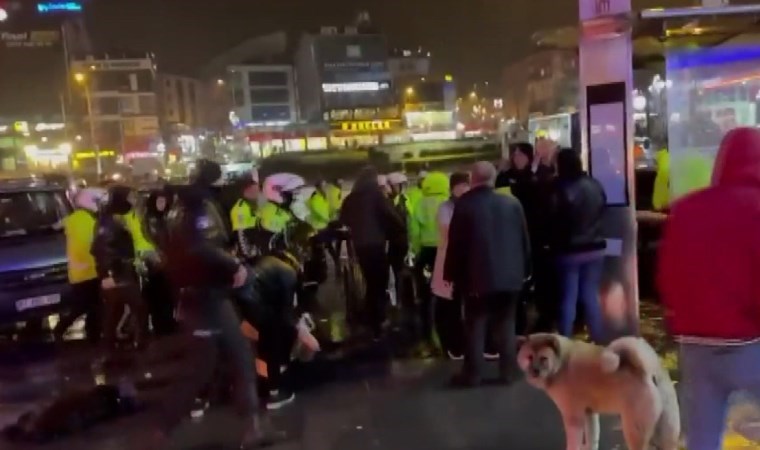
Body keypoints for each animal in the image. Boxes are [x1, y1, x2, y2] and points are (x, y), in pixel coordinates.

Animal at [520, 334, 680, 450]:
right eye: (529, 357)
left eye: (543, 359)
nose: (535, 371)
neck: (560, 363)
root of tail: (648, 370)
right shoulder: (589, 413)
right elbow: (592, 438)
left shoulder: (573, 417)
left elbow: (574, 442)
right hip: (665, 432)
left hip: (633, 429)